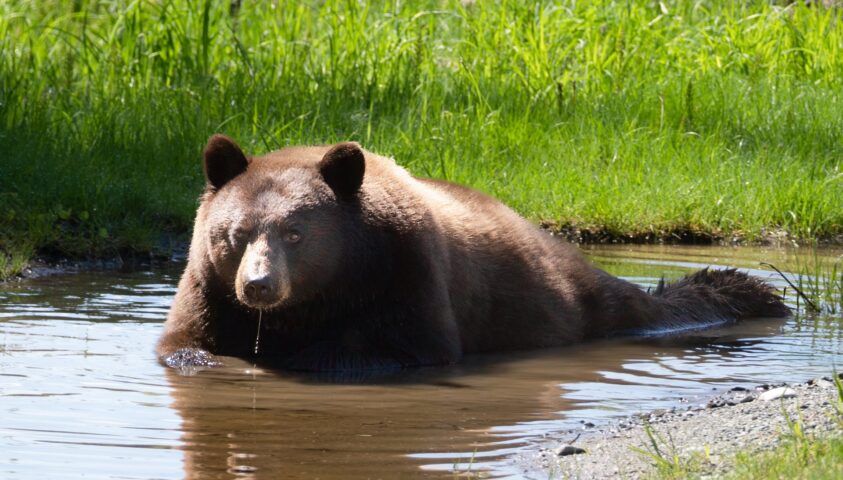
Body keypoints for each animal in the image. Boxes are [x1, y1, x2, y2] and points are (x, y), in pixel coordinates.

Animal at [157, 135, 789, 371]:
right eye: (235, 233)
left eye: (294, 233)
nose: (259, 286)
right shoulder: (208, 286)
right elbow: (185, 343)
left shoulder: (404, 272)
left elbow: (402, 347)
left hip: (552, 301)